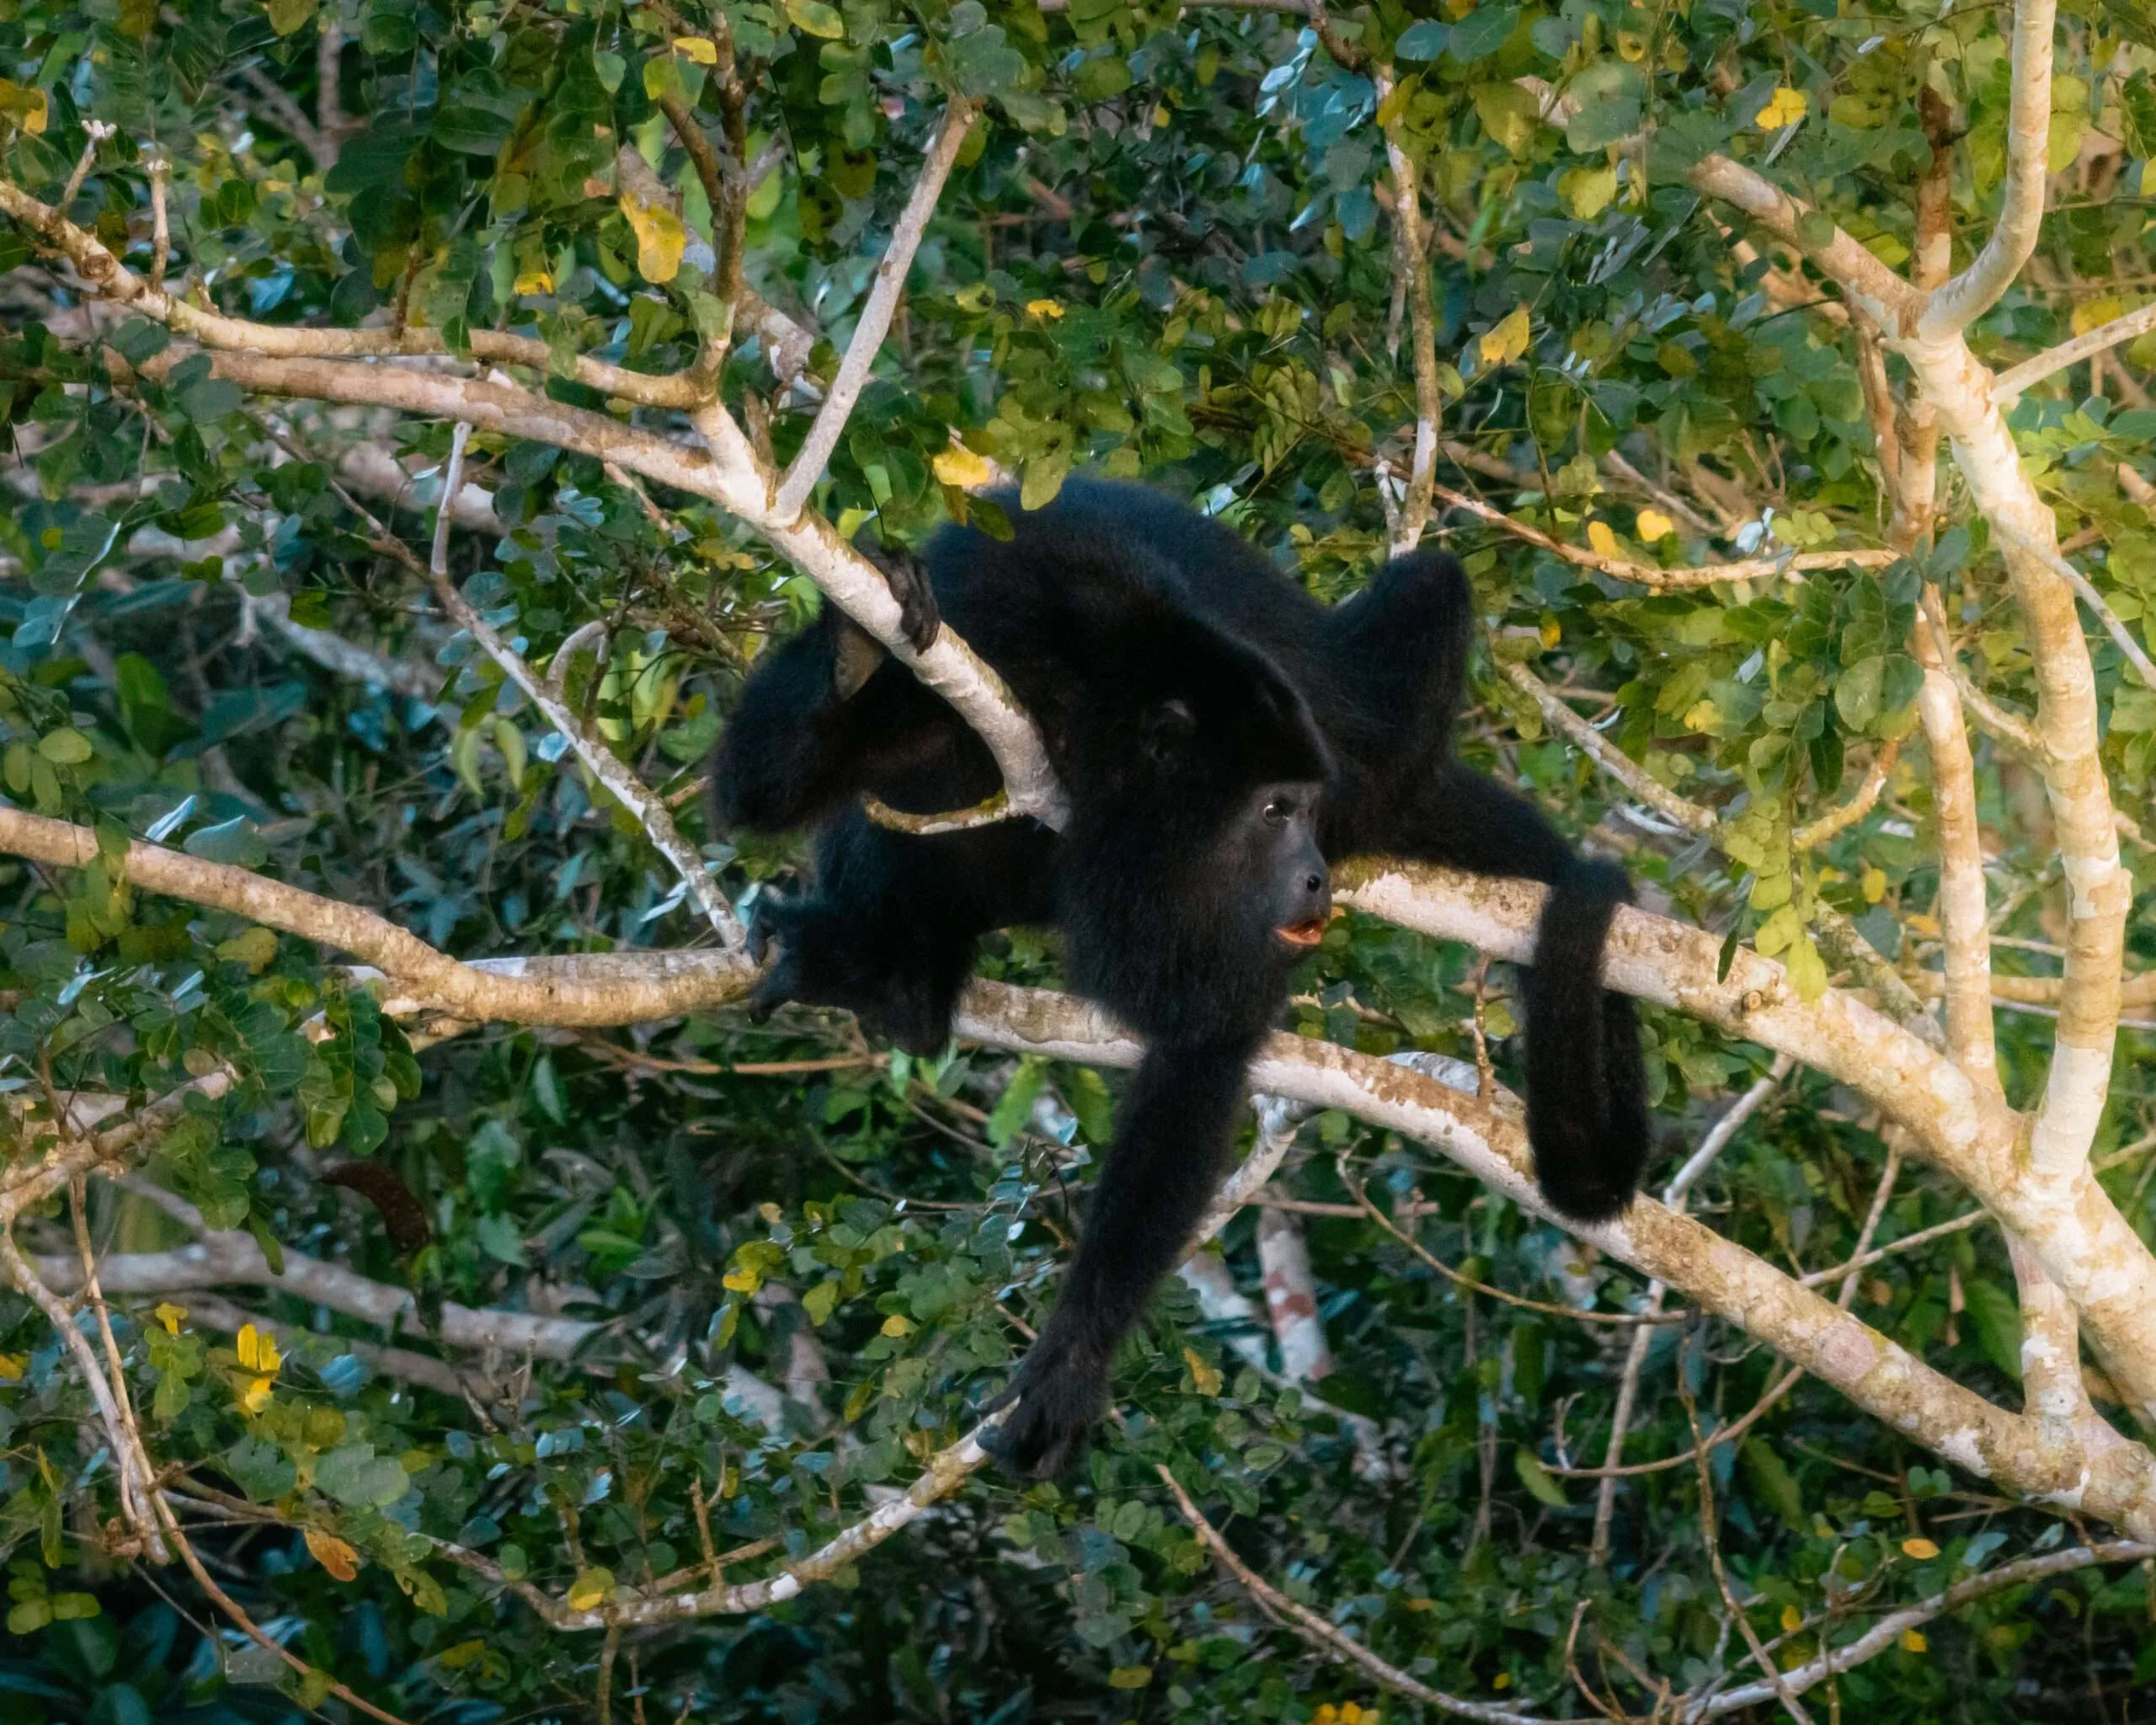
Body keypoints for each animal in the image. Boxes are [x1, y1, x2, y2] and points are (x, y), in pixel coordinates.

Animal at [715, 478, 1638, 1475]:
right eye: (1272, 811)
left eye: (1305, 808)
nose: (1316, 872)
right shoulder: (983, 649)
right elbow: (752, 793)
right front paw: (850, 658)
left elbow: (1202, 1044)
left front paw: (1070, 1362)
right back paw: (890, 971)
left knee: (1427, 589)